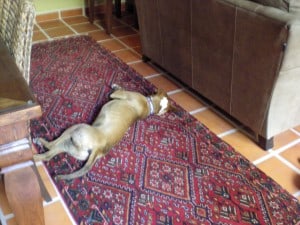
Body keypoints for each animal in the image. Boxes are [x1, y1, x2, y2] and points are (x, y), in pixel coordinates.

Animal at [33, 83, 171, 180]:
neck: (150, 106)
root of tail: (98, 149)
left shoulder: (118, 94)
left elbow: (118, 90)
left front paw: (115, 86)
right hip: (70, 146)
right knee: (48, 155)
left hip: (75, 130)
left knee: (51, 146)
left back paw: (38, 143)